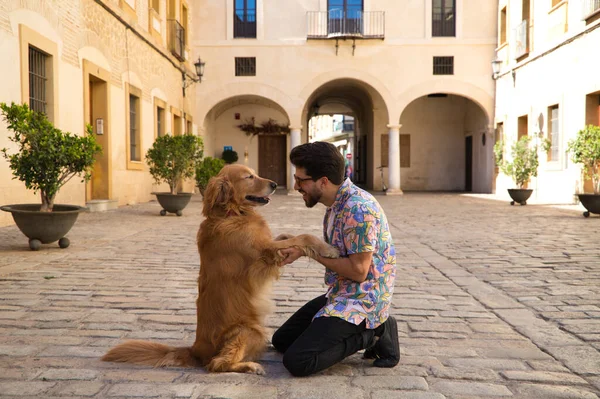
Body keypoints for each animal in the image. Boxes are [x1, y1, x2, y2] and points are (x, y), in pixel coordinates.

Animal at [102, 163, 338, 376]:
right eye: (249, 177)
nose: (274, 184)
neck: (231, 213)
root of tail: (195, 350)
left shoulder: (268, 243)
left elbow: (289, 235)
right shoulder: (263, 253)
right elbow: (304, 236)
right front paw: (329, 249)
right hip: (249, 330)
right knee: (218, 364)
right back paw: (250, 366)